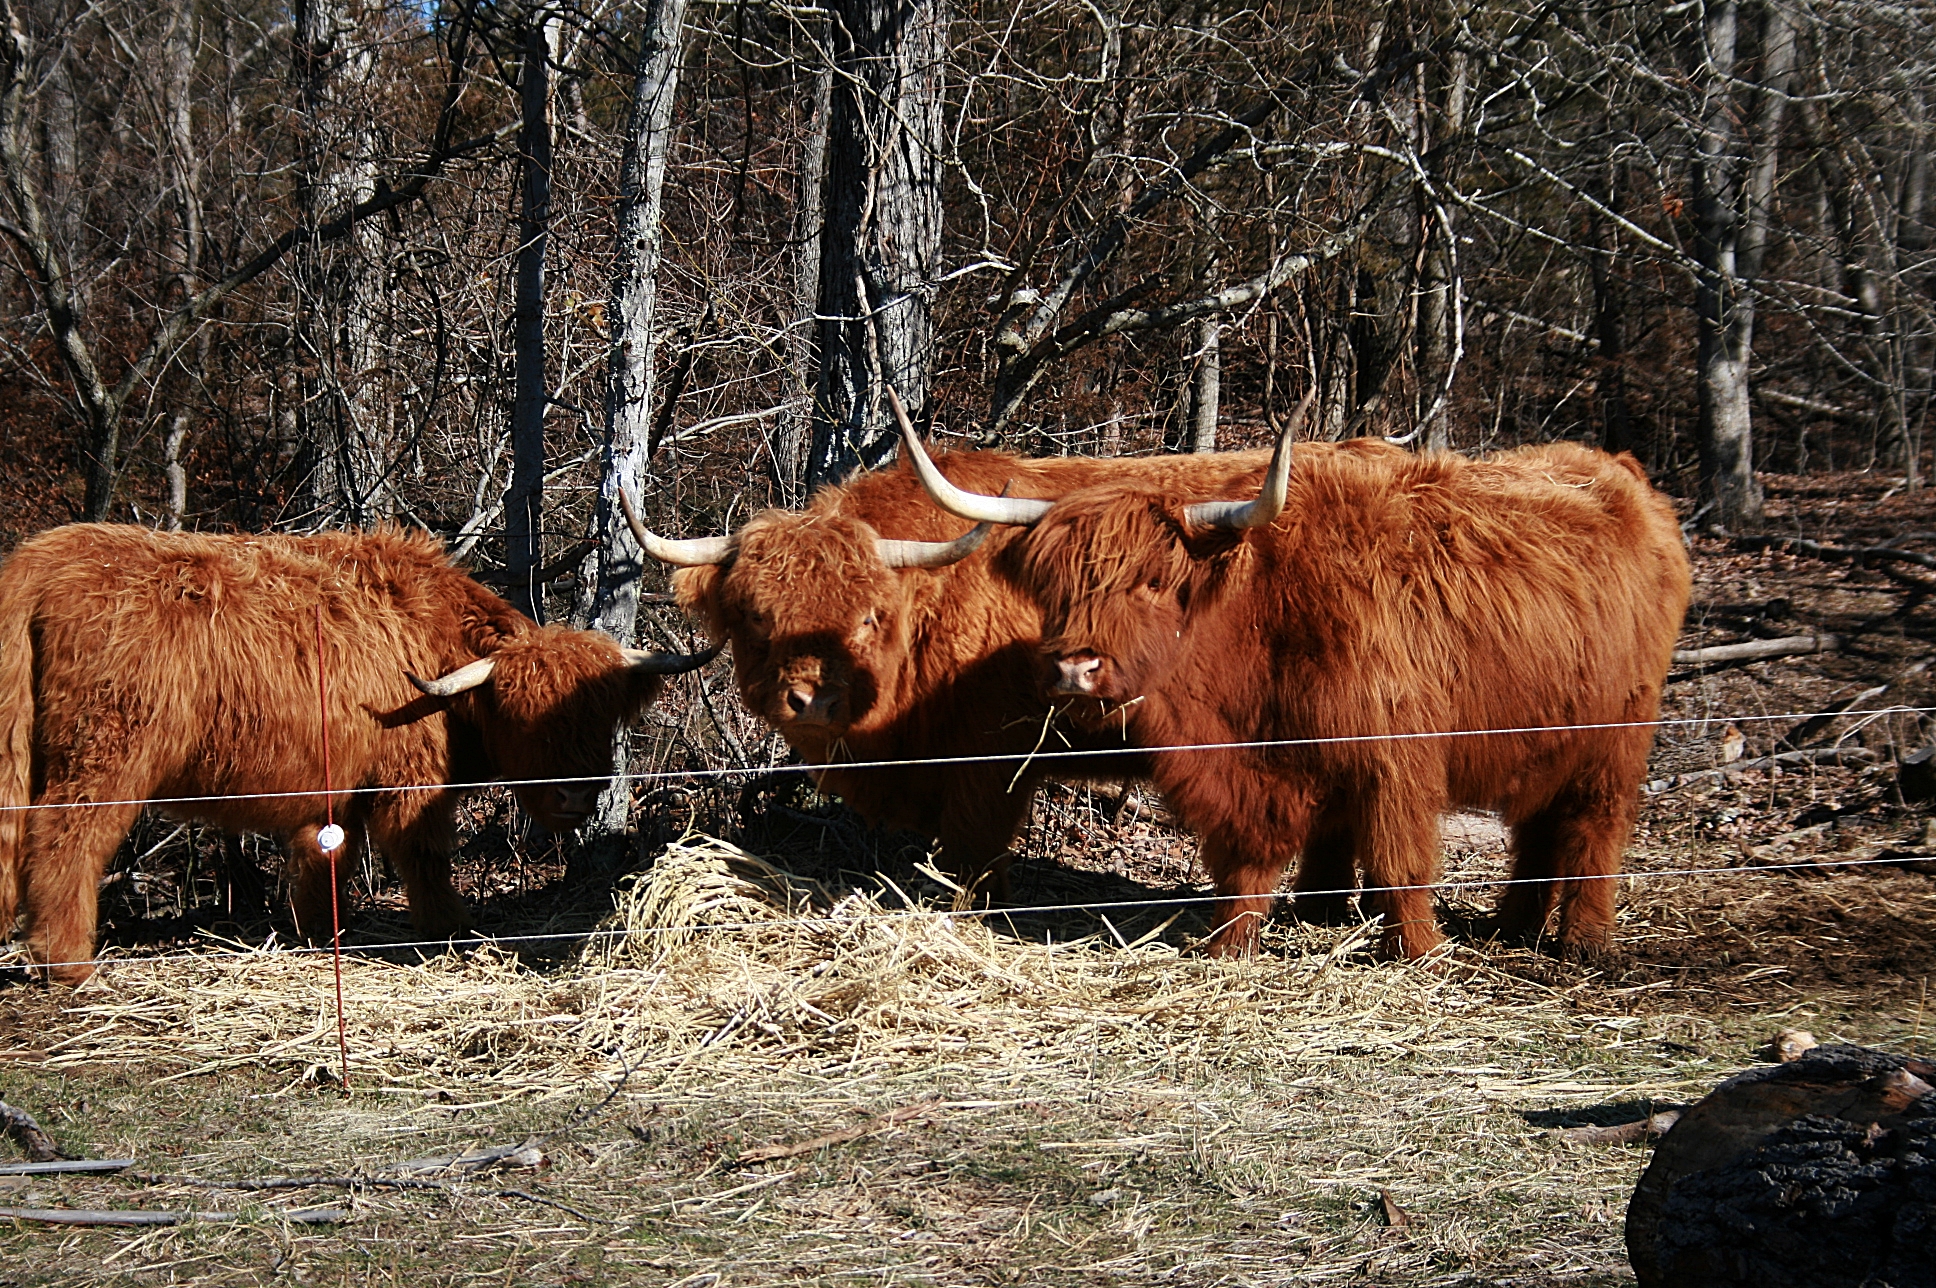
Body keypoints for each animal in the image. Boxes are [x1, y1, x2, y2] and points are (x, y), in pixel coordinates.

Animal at [0, 519, 716, 980]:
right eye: (522, 719)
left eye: (601, 720)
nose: (571, 802)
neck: (433, 642)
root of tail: (39, 563)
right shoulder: (412, 780)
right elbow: (423, 856)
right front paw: (449, 929)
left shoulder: (334, 788)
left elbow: (326, 863)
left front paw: (321, 937)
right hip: (106, 752)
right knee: (66, 837)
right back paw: (68, 963)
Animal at [902, 397, 1680, 960]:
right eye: (1055, 588)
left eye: (1152, 582)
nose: (1072, 665)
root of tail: (1619, 472)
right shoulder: (1253, 772)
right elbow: (1246, 863)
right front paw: (1232, 945)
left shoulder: (1398, 760)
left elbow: (1401, 861)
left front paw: (1416, 952)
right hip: (1550, 736)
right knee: (1536, 829)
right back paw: (1508, 924)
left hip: (1618, 737)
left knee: (1595, 827)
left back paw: (1583, 944)